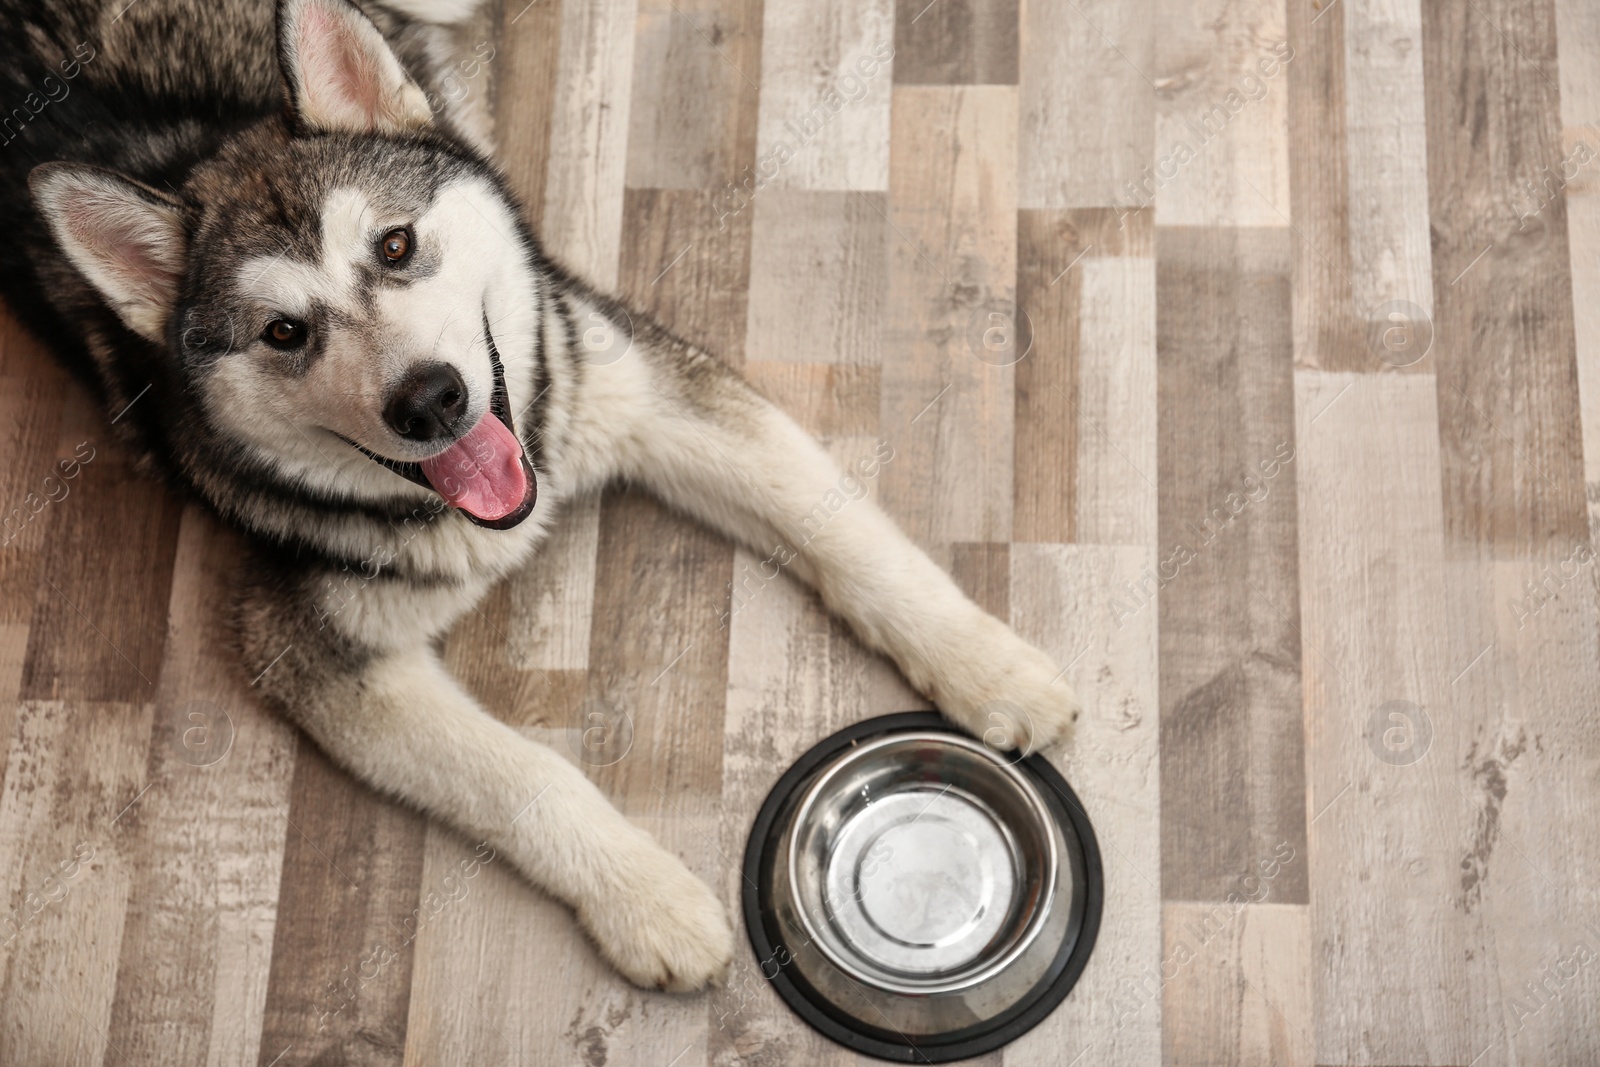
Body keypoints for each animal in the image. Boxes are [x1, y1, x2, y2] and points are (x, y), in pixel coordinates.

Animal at [0, 0, 1081, 991]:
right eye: (283, 333)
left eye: (395, 247)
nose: (430, 399)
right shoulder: (309, 646)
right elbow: (524, 775)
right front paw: (643, 895)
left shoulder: (655, 393)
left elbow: (855, 541)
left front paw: (987, 664)